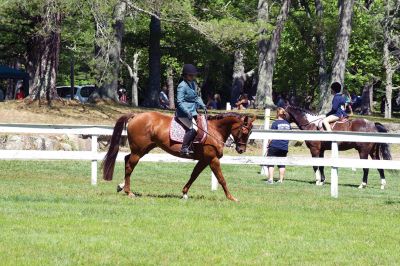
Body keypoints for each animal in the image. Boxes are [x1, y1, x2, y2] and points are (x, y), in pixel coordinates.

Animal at [101, 111, 255, 201]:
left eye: (250, 132)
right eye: (244, 131)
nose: (241, 149)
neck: (213, 130)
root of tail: (136, 115)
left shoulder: (204, 160)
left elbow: (194, 175)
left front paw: (185, 193)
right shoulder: (212, 159)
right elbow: (222, 179)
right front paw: (231, 198)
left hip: (144, 149)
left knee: (127, 160)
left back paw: (121, 186)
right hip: (138, 151)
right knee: (129, 166)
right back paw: (128, 192)